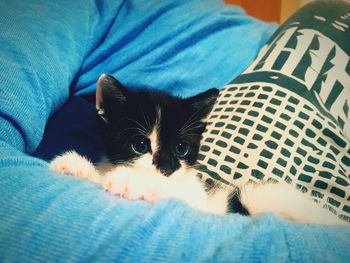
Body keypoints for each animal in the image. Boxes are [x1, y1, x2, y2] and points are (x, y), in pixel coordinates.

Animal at [50, 74, 348, 227]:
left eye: (181, 149)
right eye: (141, 145)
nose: (167, 168)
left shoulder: (197, 199)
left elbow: (175, 193)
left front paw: (131, 182)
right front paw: (77, 166)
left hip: (258, 195)